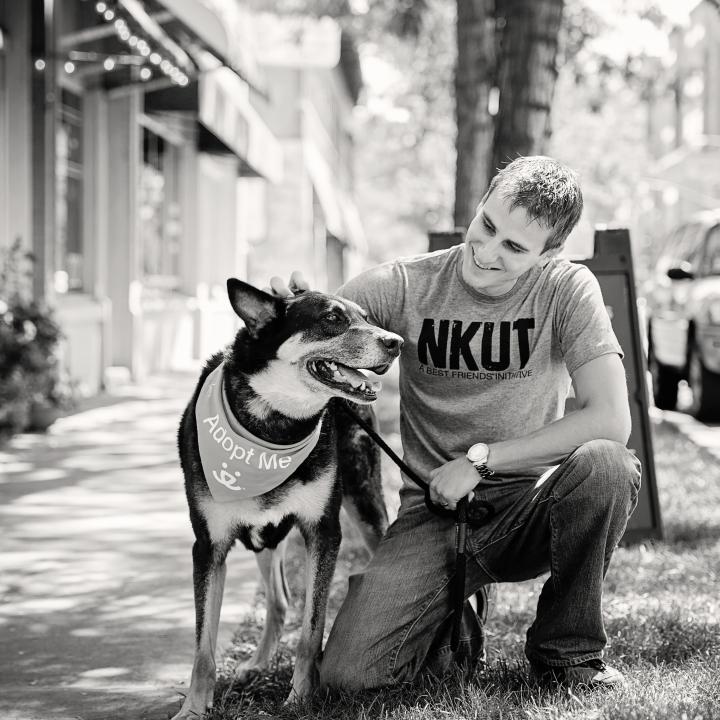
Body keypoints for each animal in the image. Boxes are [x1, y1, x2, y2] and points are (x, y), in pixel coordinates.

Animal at [172, 278, 402, 716]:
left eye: (366, 317)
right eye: (333, 318)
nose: (396, 342)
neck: (274, 425)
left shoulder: (323, 532)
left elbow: (311, 629)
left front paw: (301, 696)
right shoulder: (208, 546)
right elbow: (202, 646)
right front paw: (193, 708)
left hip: (366, 504)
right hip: (263, 536)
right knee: (278, 601)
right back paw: (258, 663)